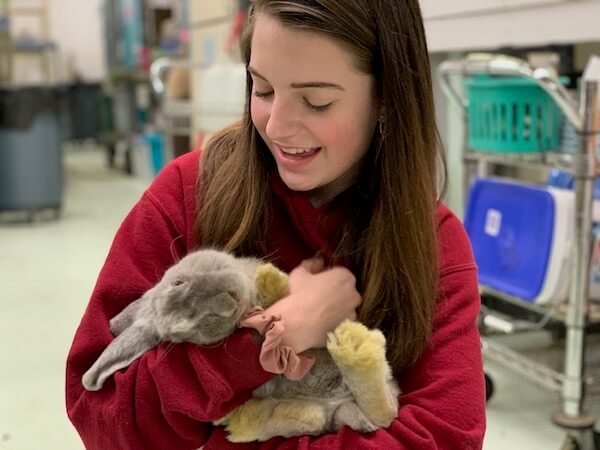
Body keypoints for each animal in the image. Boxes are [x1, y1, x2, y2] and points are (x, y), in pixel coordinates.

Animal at [81, 248, 398, 442]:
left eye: (178, 283)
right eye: (189, 323)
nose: (228, 302)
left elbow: (277, 291)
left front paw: (269, 278)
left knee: (384, 411)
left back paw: (354, 350)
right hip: (320, 412)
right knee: (358, 415)